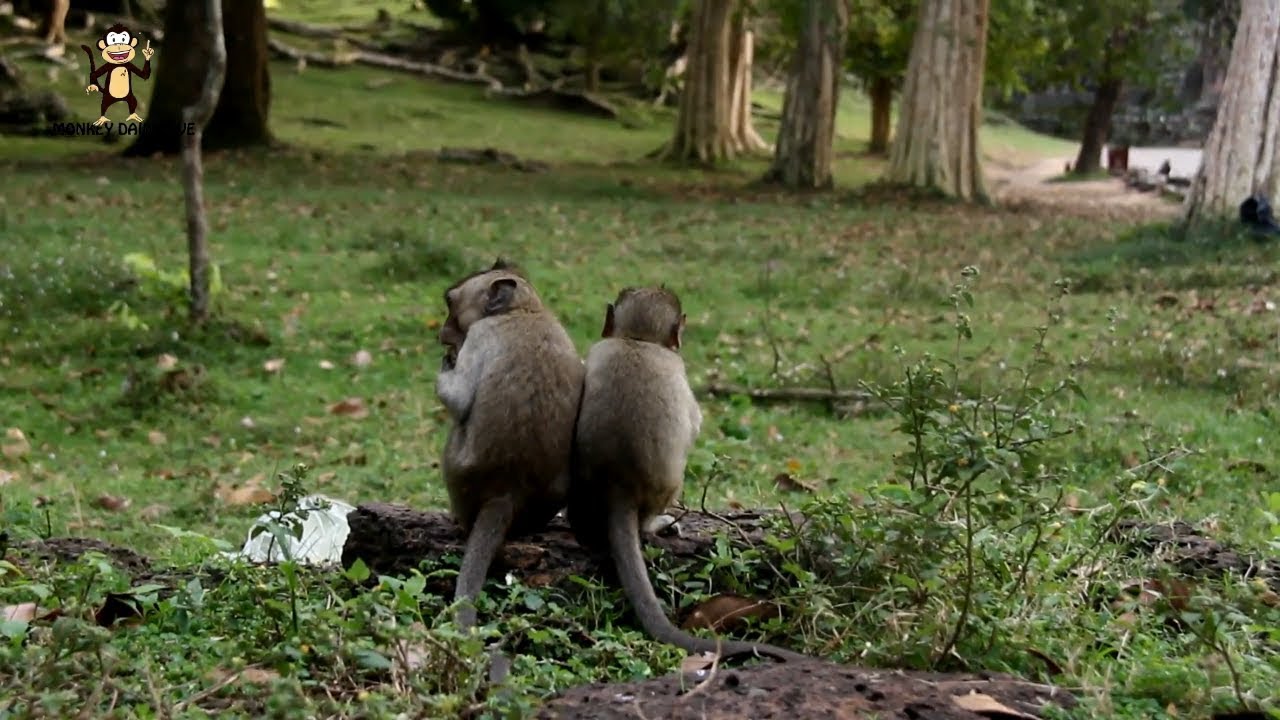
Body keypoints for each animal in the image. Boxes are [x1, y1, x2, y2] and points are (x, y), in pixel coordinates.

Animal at [436, 259, 585, 630]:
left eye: (450, 303)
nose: (441, 334)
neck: (525, 310)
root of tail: (507, 491)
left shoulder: (479, 336)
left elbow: (459, 400)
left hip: (458, 474)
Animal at [568, 287, 808, 663]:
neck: (637, 340)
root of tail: (619, 486)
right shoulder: (678, 371)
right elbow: (693, 424)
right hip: (665, 487)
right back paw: (656, 524)